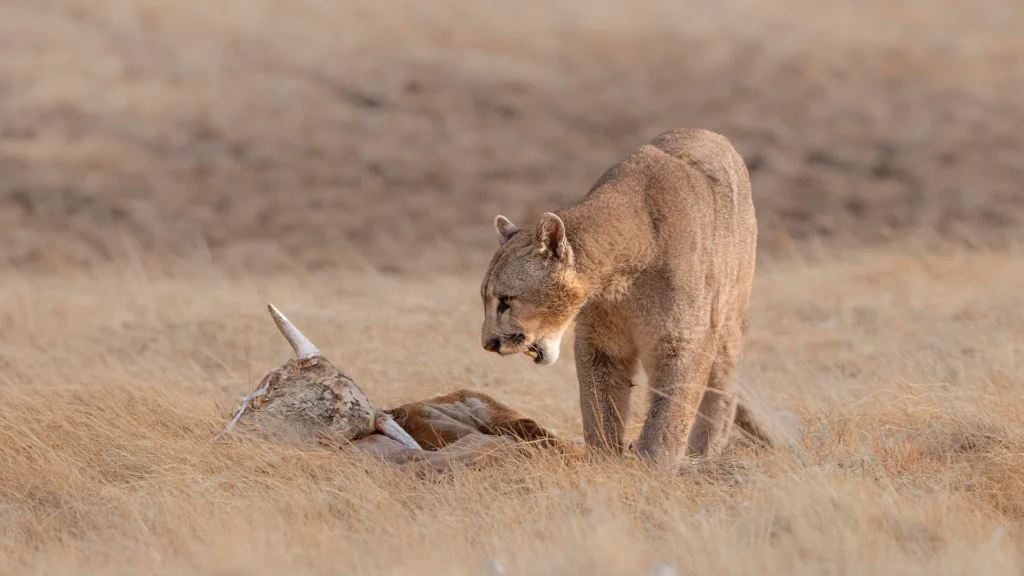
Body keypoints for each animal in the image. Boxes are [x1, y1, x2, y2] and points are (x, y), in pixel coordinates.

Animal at [479, 128, 802, 470]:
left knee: (723, 390)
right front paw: (604, 458)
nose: (488, 343)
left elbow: (671, 409)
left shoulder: (684, 339)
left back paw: (704, 455)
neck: (620, 280)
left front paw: (655, 463)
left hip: (730, 319)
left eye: (506, 300)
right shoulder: (598, 344)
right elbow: (599, 404)